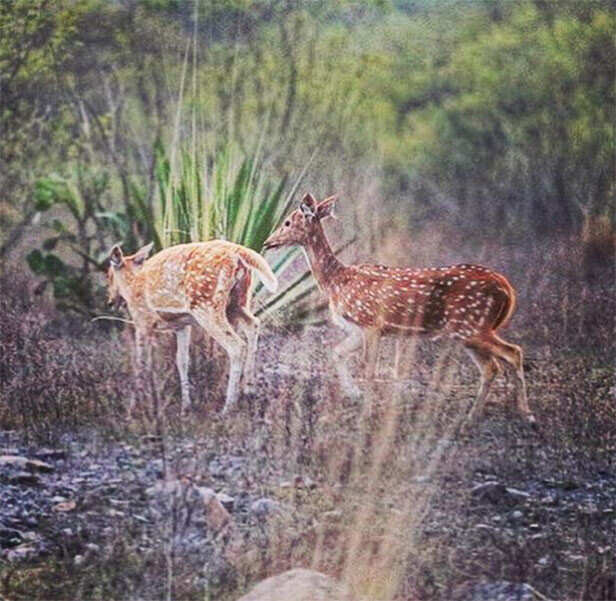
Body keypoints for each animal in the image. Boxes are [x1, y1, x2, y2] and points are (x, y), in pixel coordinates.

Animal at [107, 239, 278, 412]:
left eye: (109, 275)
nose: (110, 302)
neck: (131, 285)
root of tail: (238, 252)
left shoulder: (142, 321)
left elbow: (141, 363)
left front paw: (137, 406)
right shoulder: (182, 324)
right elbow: (182, 360)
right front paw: (185, 405)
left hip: (207, 305)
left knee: (237, 345)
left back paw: (228, 407)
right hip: (238, 300)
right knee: (253, 324)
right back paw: (250, 390)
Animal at [264, 192, 536, 422]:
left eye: (287, 222)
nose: (267, 242)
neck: (337, 282)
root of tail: (507, 289)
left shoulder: (371, 322)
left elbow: (369, 369)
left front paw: (365, 410)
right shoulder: (356, 329)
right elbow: (337, 353)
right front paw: (354, 394)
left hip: (472, 324)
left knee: (513, 352)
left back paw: (525, 413)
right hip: (467, 332)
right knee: (491, 367)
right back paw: (473, 415)